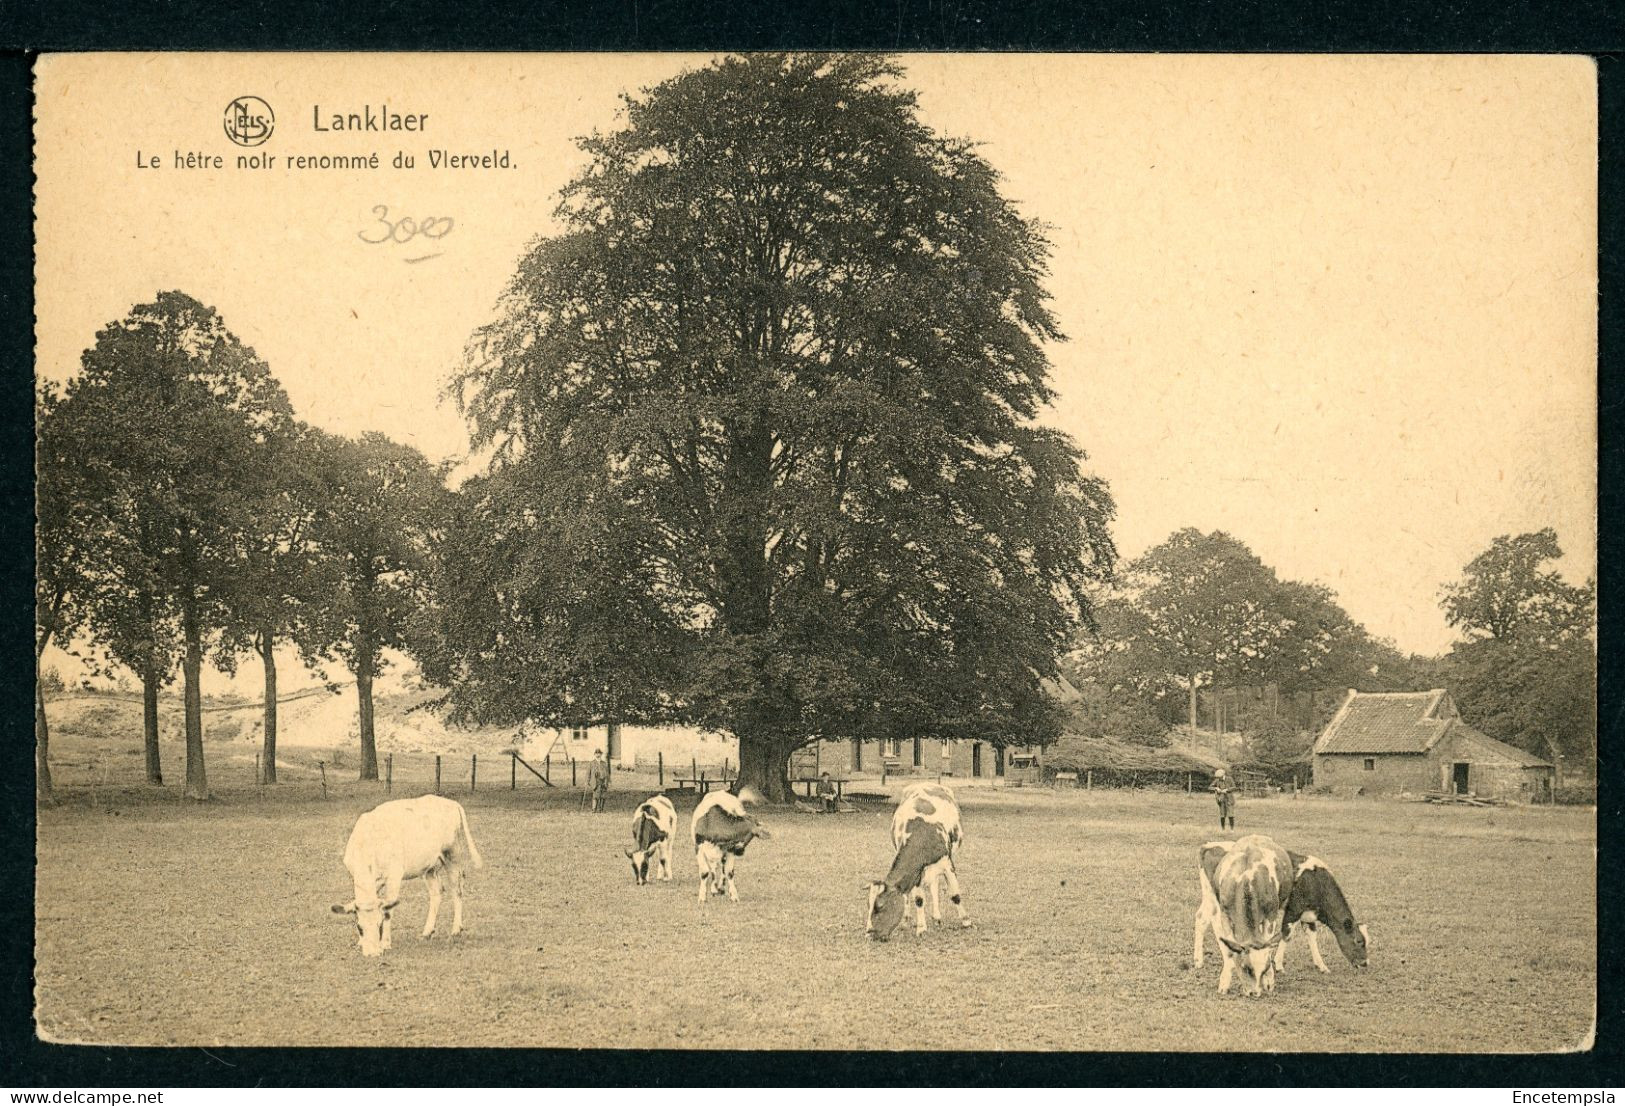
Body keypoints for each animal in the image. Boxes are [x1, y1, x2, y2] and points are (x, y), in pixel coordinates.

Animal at [328, 792, 481, 954]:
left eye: (380, 925)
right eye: (359, 928)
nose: (372, 953)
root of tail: (451, 802)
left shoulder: (394, 875)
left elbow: (389, 910)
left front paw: (385, 943)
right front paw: (360, 942)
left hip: (452, 853)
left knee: (456, 890)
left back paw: (456, 930)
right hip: (430, 867)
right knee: (436, 892)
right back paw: (427, 932)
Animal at [871, 776, 968, 941]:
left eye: (880, 906)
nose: (870, 933)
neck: (922, 834)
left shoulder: (947, 863)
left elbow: (955, 894)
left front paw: (966, 921)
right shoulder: (916, 871)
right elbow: (918, 899)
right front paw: (921, 928)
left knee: (935, 886)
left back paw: (937, 917)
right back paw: (908, 919)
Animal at [1189, 831, 1287, 993]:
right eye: (1246, 968)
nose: (1255, 993)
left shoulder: (1271, 914)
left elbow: (1268, 943)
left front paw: (1269, 979)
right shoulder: (1226, 915)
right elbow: (1230, 947)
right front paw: (1224, 982)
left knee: (1202, 917)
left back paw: (1198, 960)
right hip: (1211, 895)